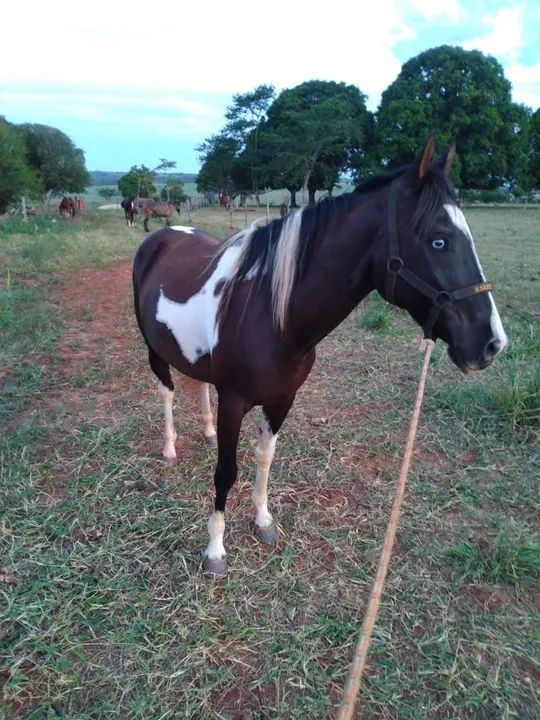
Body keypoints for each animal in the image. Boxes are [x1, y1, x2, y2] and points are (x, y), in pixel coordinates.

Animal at [132, 136, 507, 578]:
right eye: (439, 240)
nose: (491, 342)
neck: (269, 312)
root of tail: (162, 235)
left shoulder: (282, 400)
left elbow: (264, 457)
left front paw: (263, 520)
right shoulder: (235, 402)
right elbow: (226, 472)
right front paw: (215, 551)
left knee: (197, 383)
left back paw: (205, 432)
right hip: (154, 350)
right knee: (167, 391)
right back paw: (170, 448)